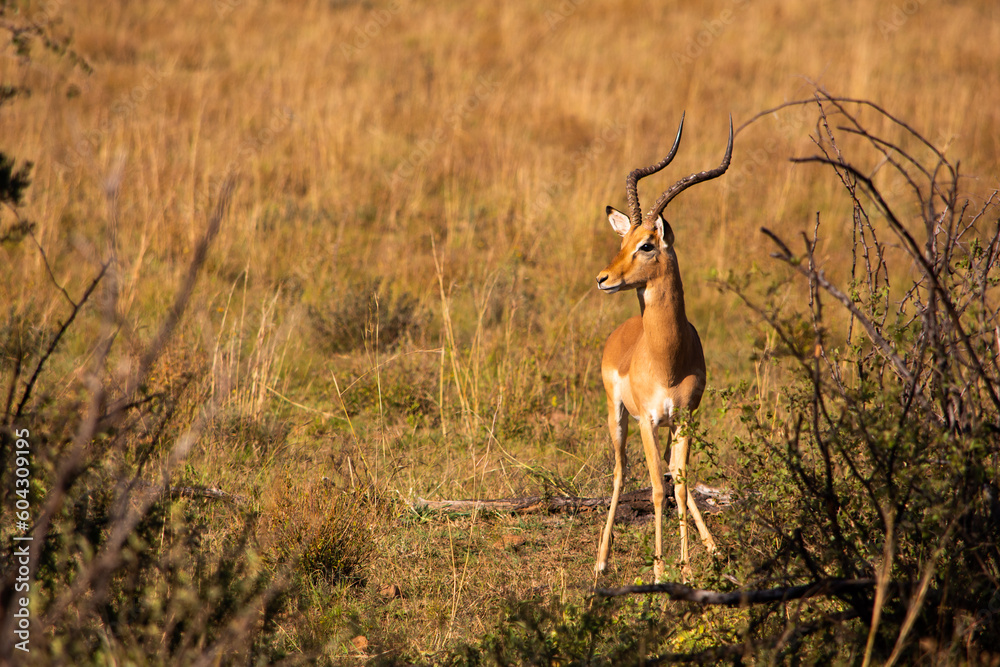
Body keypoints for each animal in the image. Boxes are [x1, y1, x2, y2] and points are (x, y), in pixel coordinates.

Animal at [594, 114, 732, 582]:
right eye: (623, 242)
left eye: (647, 244)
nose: (603, 278)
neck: (667, 357)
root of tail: (621, 332)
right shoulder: (648, 422)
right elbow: (655, 488)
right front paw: (658, 572)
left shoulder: (685, 416)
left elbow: (681, 482)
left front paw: (687, 569)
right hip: (618, 417)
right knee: (620, 473)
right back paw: (601, 561)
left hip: (669, 425)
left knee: (676, 479)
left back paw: (715, 551)